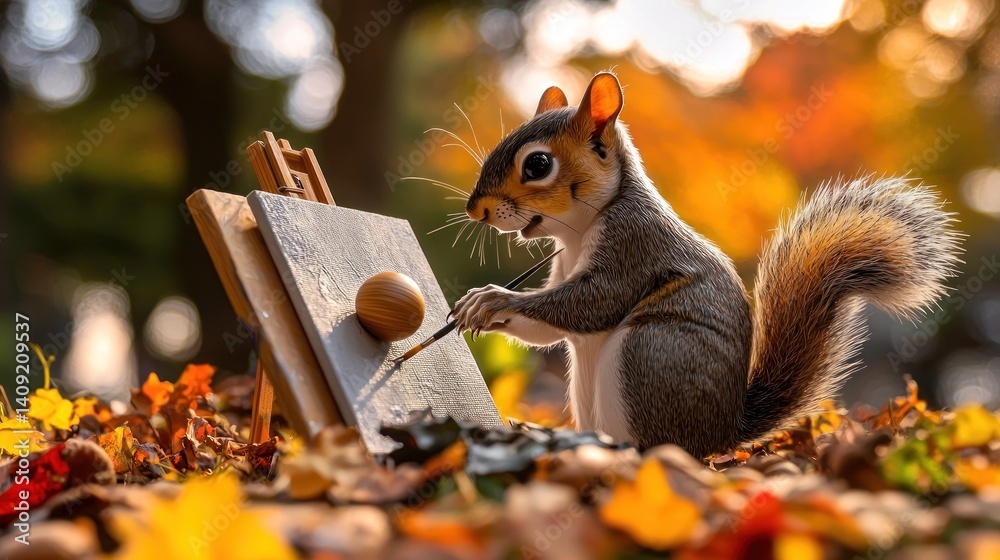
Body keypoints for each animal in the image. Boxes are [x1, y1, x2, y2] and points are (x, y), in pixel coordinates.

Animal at [451, 72, 962, 457]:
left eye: (537, 165)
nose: (475, 209)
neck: (579, 231)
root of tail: (721, 435)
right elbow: (548, 330)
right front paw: (478, 306)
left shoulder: (634, 246)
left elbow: (594, 303)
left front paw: (495, 299)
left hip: (648, 353)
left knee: (659, 447)